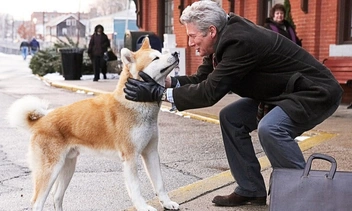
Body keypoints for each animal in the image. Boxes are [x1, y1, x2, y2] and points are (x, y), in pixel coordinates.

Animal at [6, 38, 179, 211]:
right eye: (155, 58)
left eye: (160, 53)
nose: (176, 53)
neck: (135, 103)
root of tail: (40, 121)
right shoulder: (130, 157)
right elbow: (136, 188)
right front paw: (143, 207)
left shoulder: (151, 153)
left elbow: (160, 184)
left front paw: (167, 202)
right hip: (50, 171)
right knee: (37, 202)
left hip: (67, 167)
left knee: (57, 196)